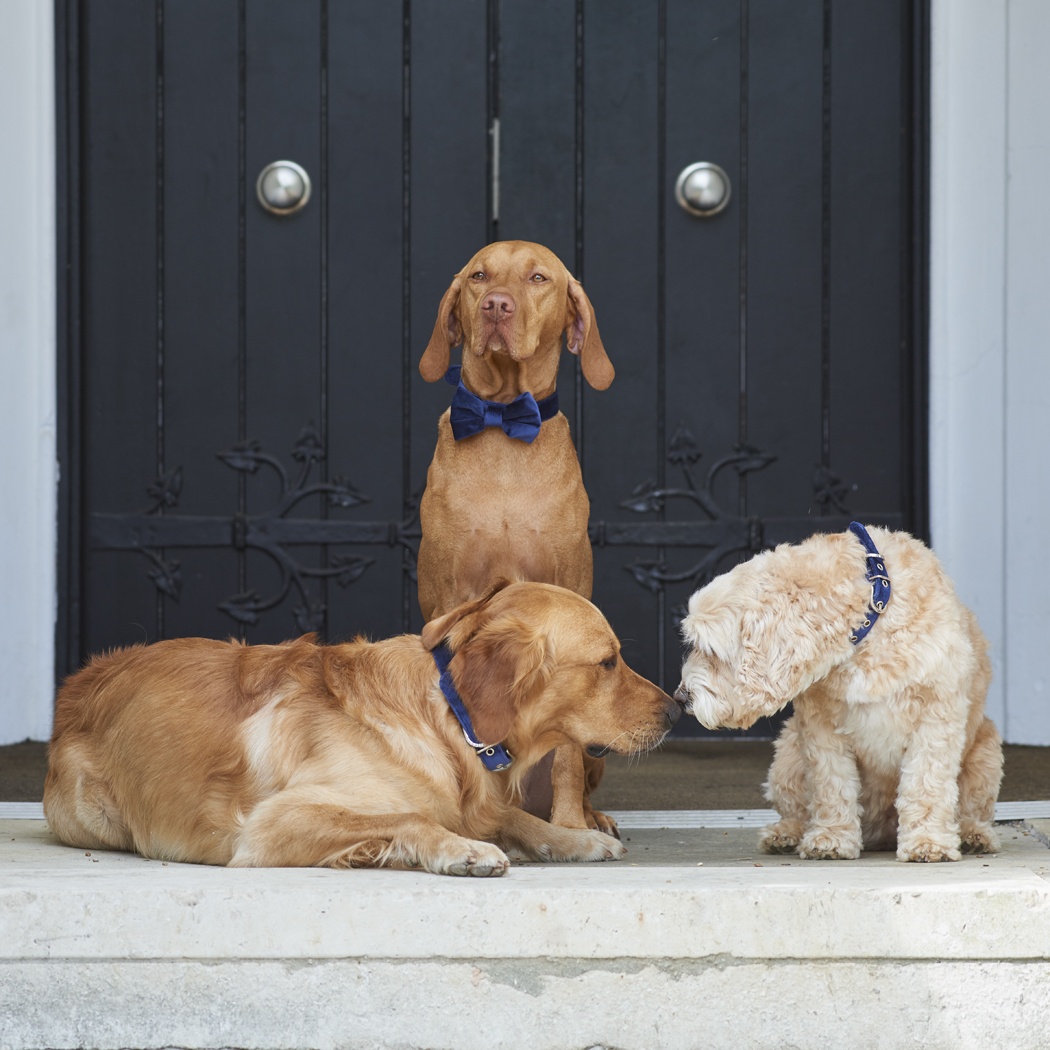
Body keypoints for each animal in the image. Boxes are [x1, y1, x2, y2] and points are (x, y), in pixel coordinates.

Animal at [415, 241, 613, 831]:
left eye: (538, 278)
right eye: (479, 277)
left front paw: (571, 824)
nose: (496, 306)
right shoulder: (450, 595)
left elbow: (568, 751)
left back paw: (592, 815)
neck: (502, 421)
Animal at [676, 525, 1003, 860]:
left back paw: (973, 834)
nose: (680, 697)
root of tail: (880, 833)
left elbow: (927, 783)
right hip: (787, 756)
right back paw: (786, 834)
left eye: (711, 650)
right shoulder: (821, 727)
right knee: (795, 810)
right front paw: (831, 838)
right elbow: (832, 784)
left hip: (986, 754)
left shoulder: (935, 715)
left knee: (971, 810)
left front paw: (928, 842)